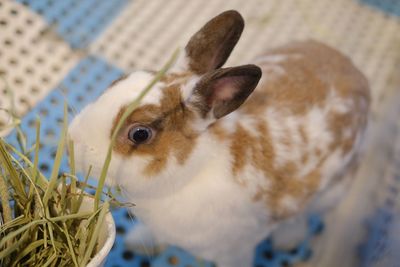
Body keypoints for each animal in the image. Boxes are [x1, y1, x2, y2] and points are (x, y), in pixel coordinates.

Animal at [68, 9, 368, 267]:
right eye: (117, 82)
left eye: (140, 134)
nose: (74, 140)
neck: (191, 172)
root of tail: (357, 74)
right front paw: (138, 241)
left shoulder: (234, 252)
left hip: (328, 194)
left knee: (303, 215)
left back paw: (287, 240)